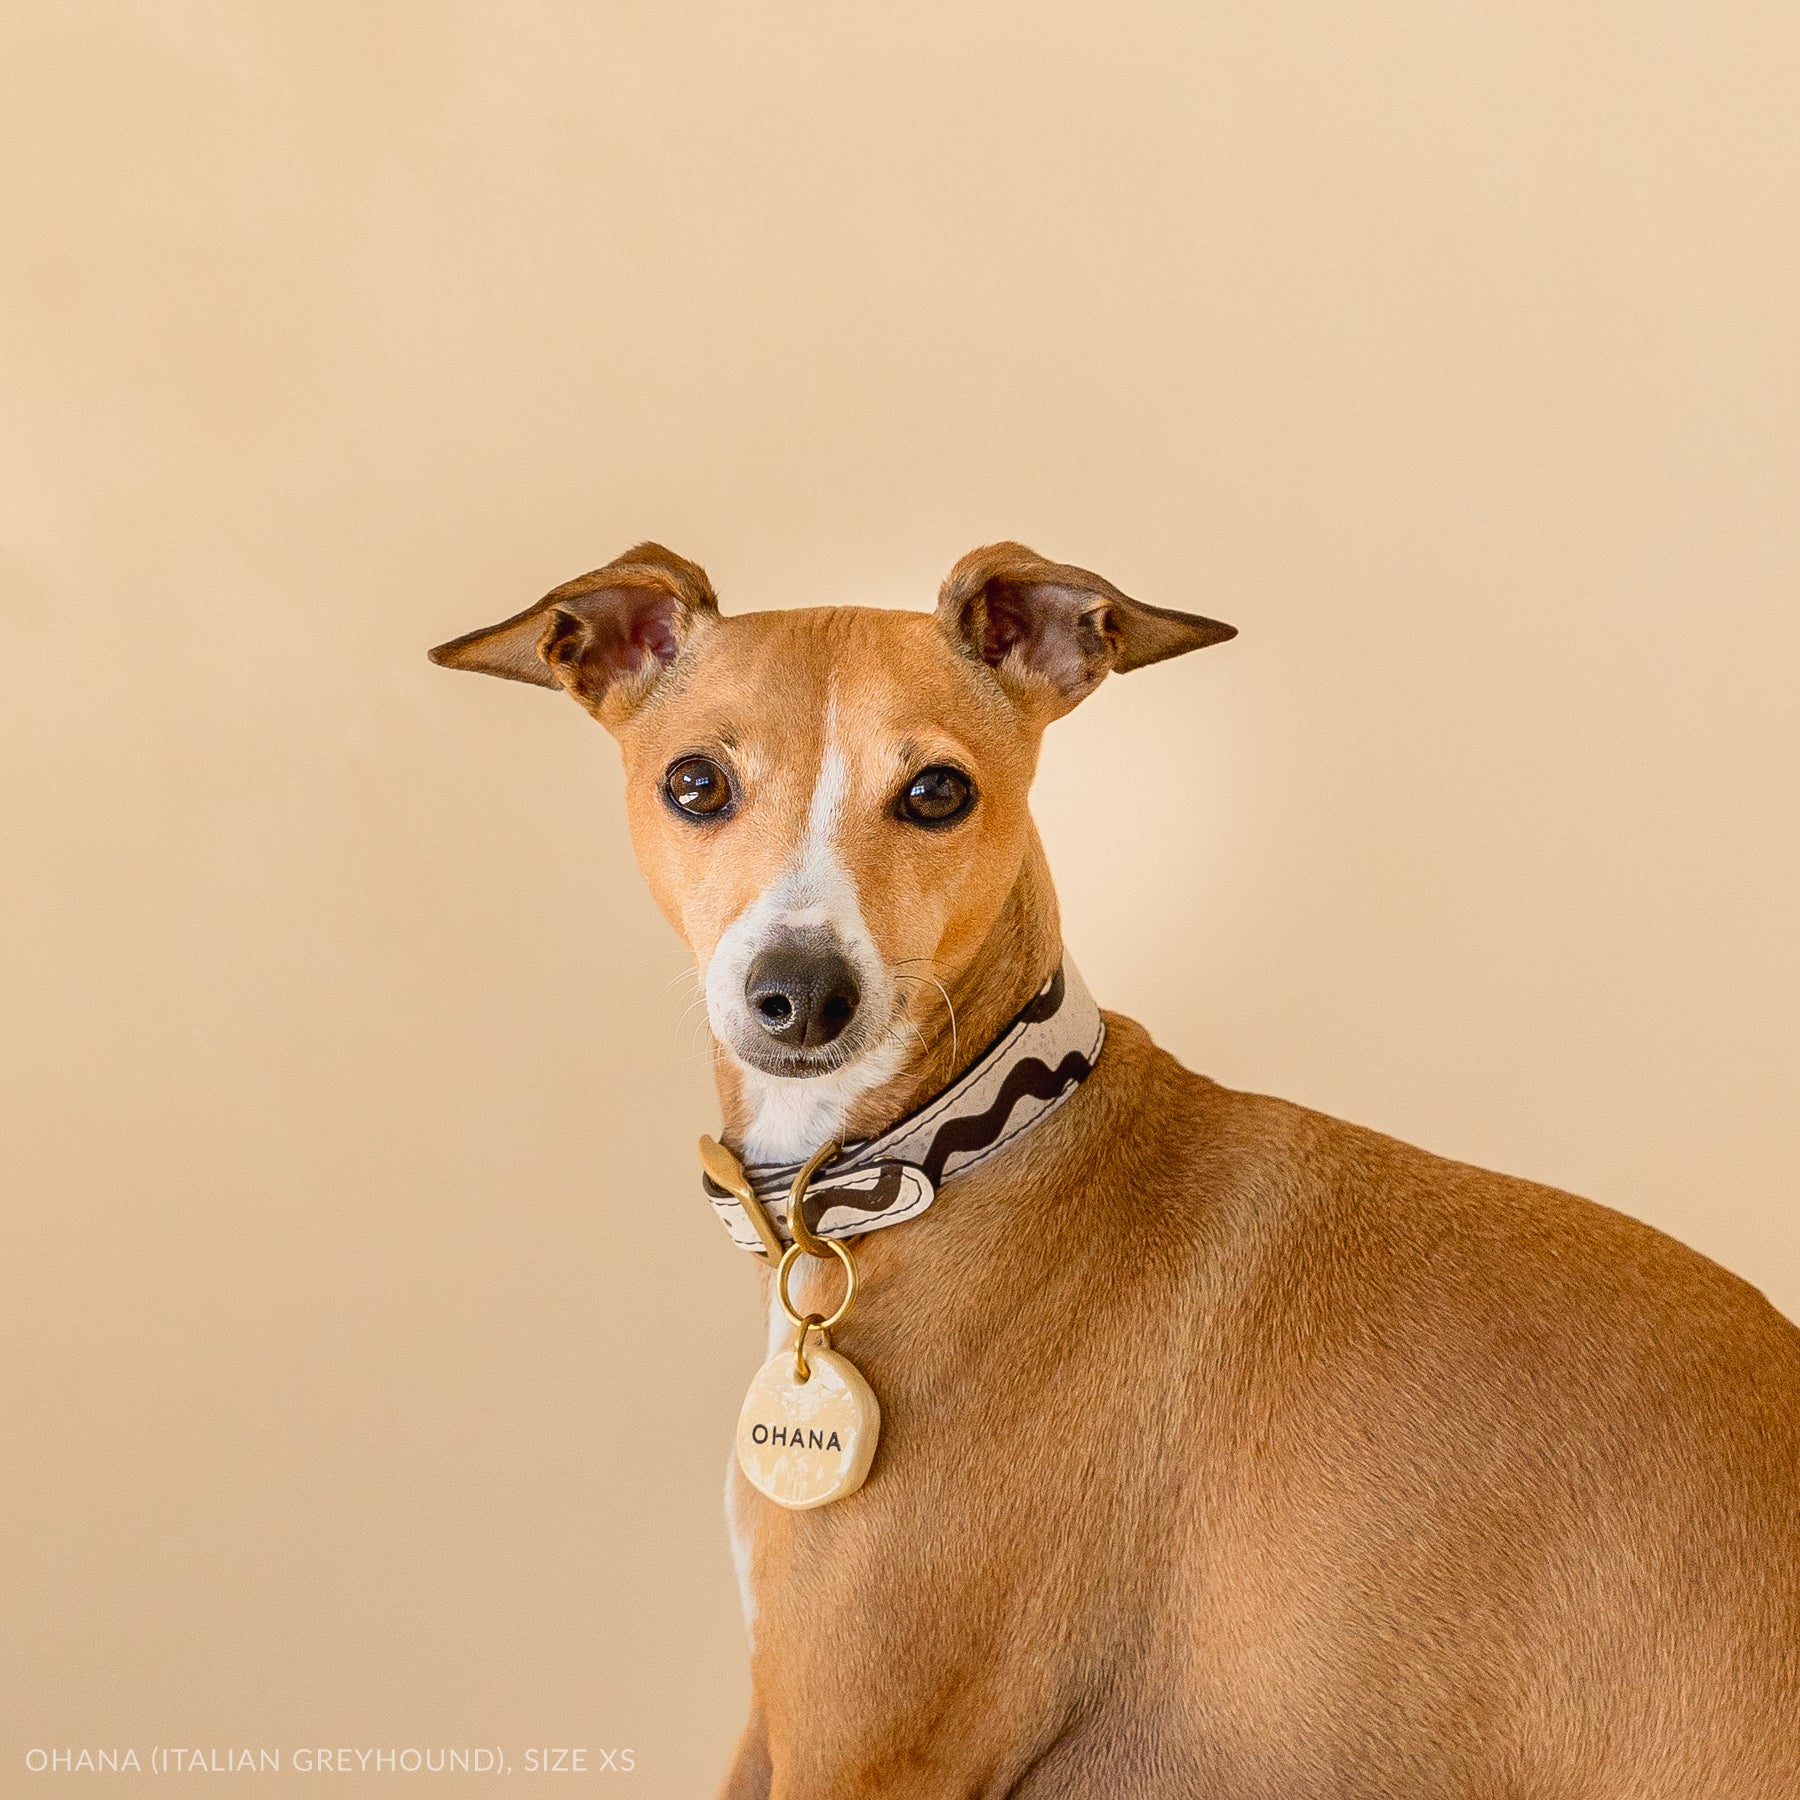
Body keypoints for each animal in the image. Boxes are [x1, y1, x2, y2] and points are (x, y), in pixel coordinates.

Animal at [435, 547, 1800, 1800]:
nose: (802, 993)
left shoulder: (856, 1743)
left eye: (936, 790)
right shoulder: (779, 1722)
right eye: (696, 782)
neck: (965, 1143)